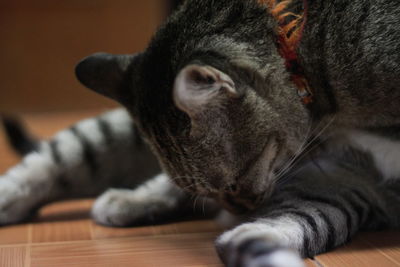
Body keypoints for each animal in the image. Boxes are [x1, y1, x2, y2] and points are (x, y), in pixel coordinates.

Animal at [0, 0, 400, 267]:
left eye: (236, 181)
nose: (237, 210)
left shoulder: (338, 185)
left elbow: (308, 220)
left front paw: (251, 237)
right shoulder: (330, 176)